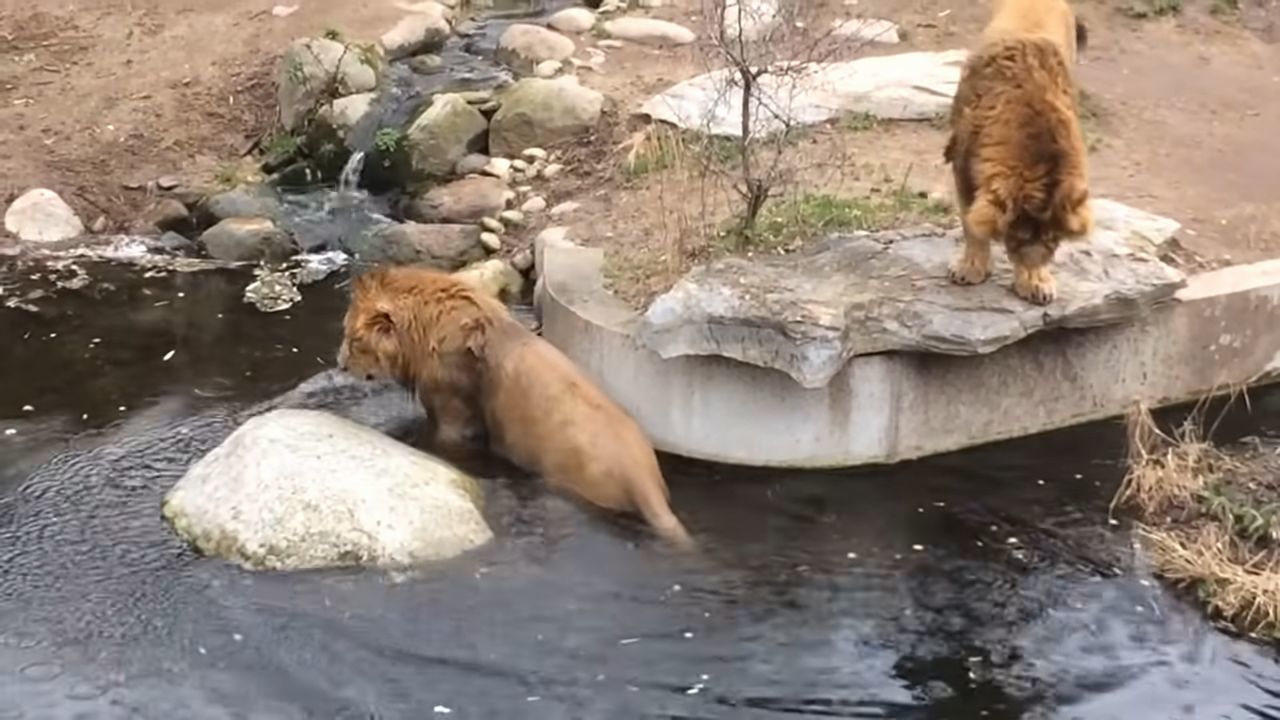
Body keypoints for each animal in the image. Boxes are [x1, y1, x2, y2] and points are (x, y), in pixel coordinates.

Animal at [947, 0, 1095, 304]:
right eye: (1017, 237)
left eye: (1053, 240)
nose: (1032, 264)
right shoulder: (962, 166)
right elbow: (971, 224)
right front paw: (970, 269)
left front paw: (1035, 280)